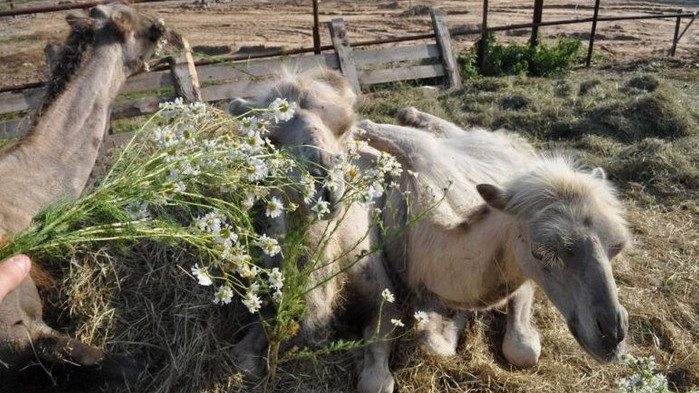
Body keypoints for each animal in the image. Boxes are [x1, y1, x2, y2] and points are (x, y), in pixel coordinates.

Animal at [230, 67, 400, 392]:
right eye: (268, 139)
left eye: (345, 127)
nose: (325, 187)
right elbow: (243, 360)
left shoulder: (383, 300)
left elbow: (375, 378)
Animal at [358, 108, 632, 370]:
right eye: (540, 252)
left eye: (616, 248)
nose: (612, 336)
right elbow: (433, 343)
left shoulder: (521, 275)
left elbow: (523, 350)